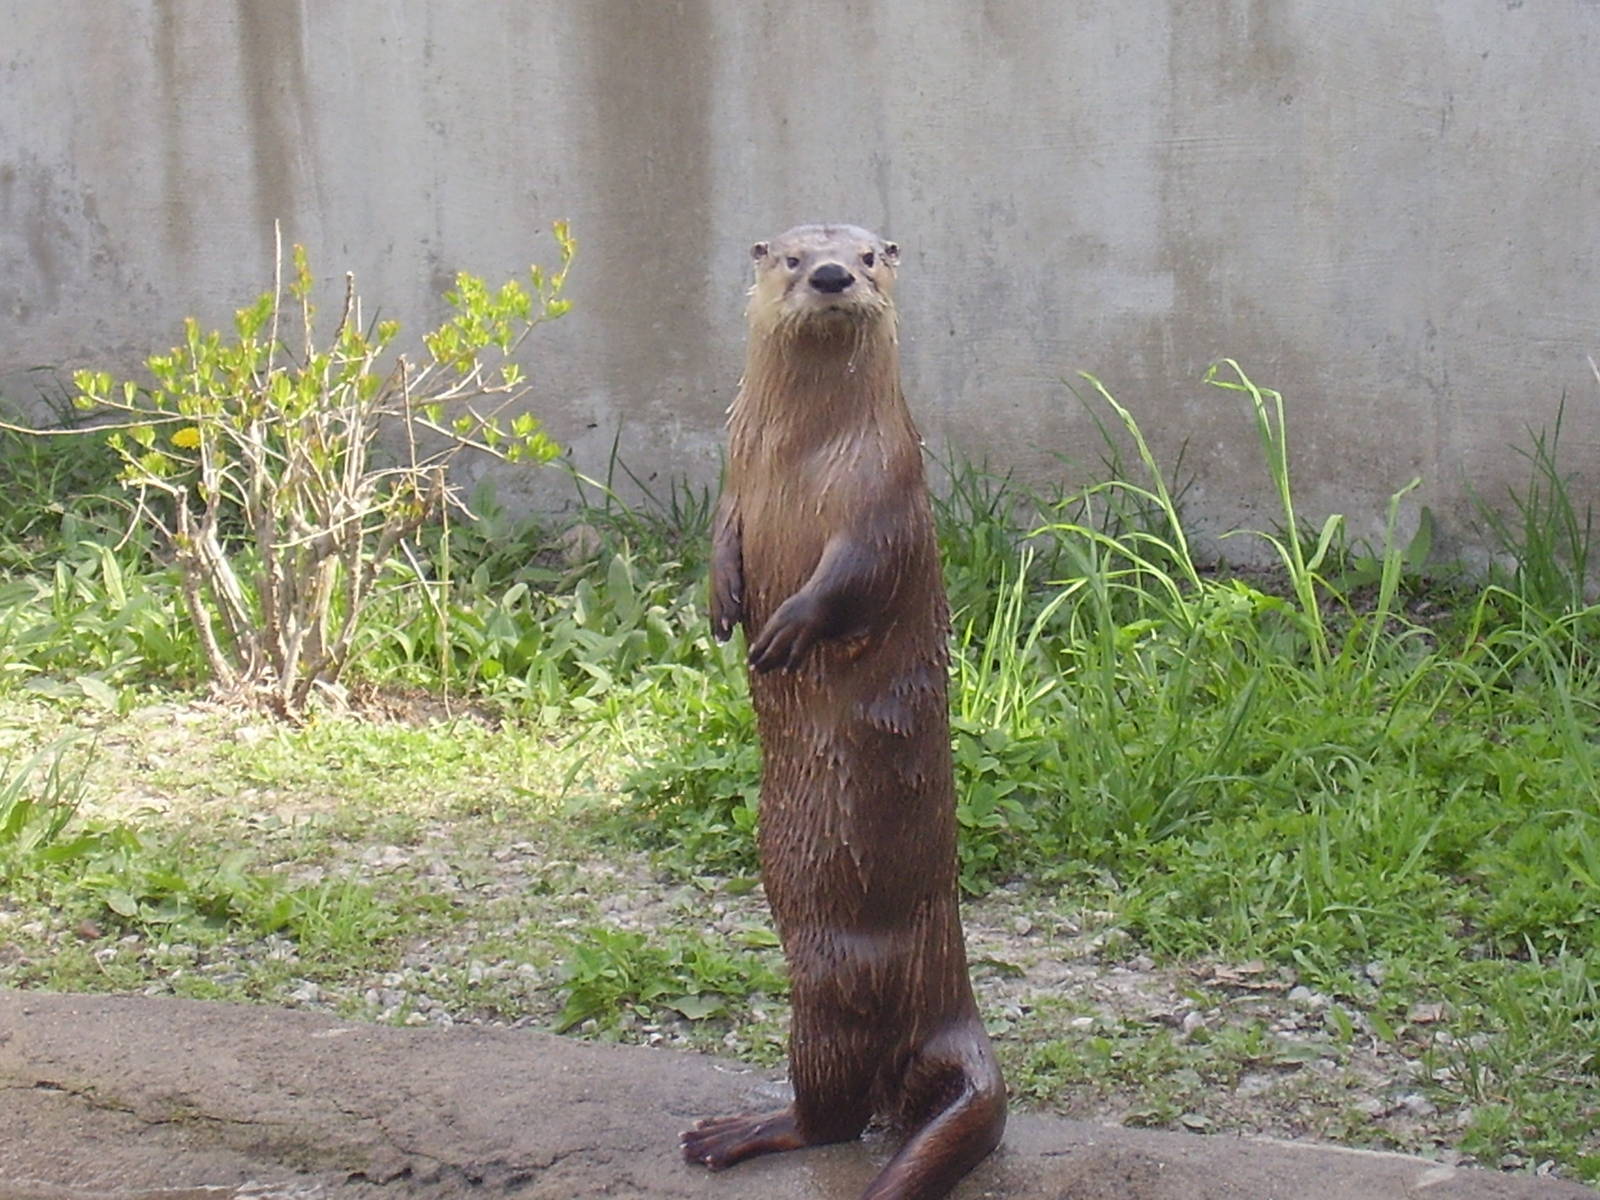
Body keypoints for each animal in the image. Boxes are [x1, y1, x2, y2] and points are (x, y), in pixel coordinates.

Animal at [680, 225, 1006, 1200]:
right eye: (790, 257)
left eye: (870, 255)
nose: (830, 275)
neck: (797, 457)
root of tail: (953, 1002)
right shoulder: (732, 478)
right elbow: (720, 534)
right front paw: (723, 601)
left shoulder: (886, 495)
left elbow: (855, 574)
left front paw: (786, 629)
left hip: (832, 990)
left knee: (834, 1110)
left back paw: (741, 1130)